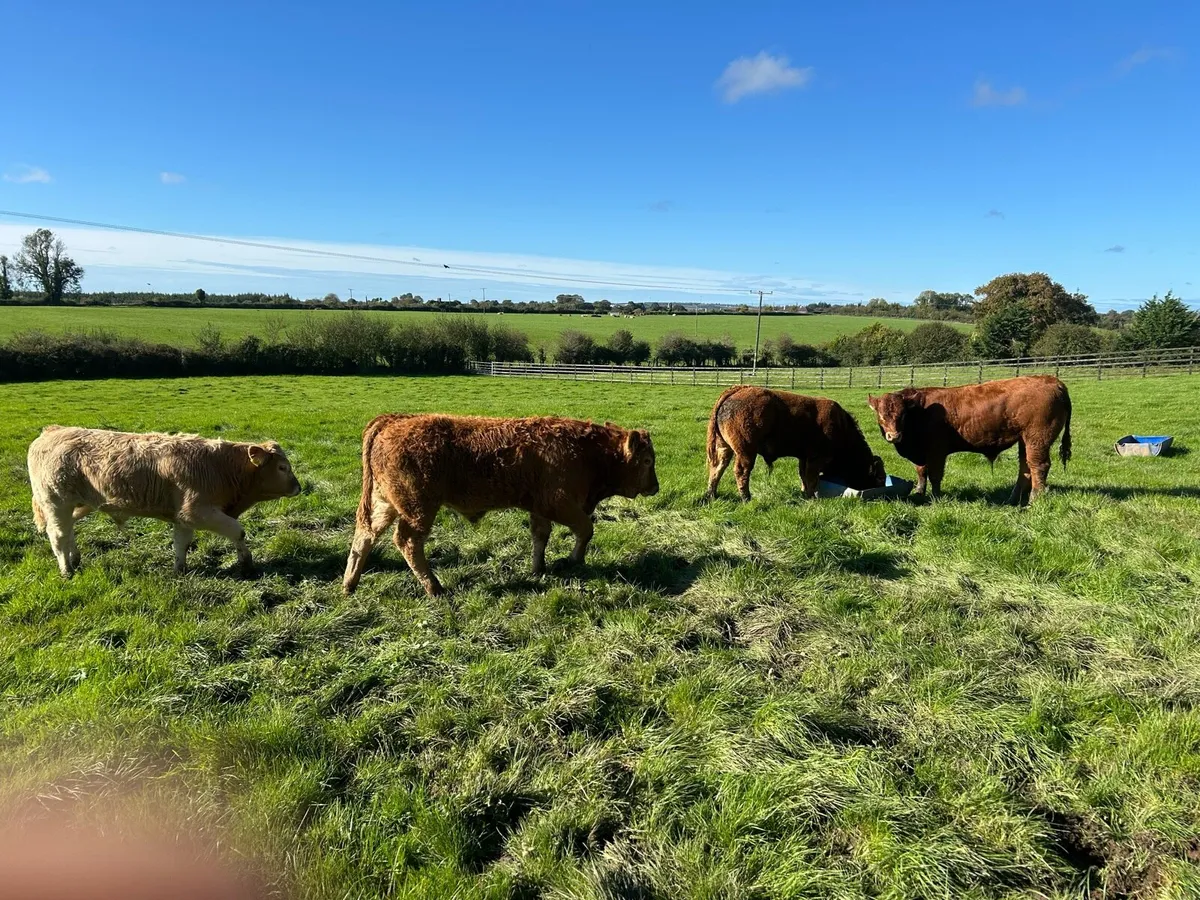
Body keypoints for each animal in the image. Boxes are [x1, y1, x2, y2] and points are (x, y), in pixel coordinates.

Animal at [27, 426, 302, 576]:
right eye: (282, 467)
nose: (299, 488)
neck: (220, 467)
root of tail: (53, 431)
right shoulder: (198, 511)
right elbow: (238, 531)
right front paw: (245, 561)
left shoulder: (184, 516)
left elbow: (181, 543)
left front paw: (179, 570)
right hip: (55, 502)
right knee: (58, 535)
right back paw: (67, 570)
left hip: (77, 504)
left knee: (69, 531)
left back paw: (75, 559)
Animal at [342, 414, 660, 597]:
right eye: (647, 460)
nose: (655, 487)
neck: (587, 450)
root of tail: (392, 420)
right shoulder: (561, 504)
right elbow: (585, 528)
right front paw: (573, 560)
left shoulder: (539, 508)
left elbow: (540, 537)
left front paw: (538, 569)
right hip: (418, 510)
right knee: (407, 541)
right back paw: (435, 588)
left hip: (385, 504)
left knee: (365, 536)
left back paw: (349, 584)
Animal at [705, 385, 886, 501]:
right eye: (879, 477)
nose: (879, 490)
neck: (842, 427)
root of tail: (736, 390)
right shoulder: (816, 458)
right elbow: (811, 478)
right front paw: (812, 497)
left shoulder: (804, 458)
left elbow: (804, 476)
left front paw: (805, 494)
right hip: (746, 451)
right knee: (741, 471)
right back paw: (746, 498)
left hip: (724, 447)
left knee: (718, 468)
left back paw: (711, 495)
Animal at [867, 375, 1072, 504]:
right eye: (881, 415)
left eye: (902, 415)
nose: (894, 435)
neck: (921, 410)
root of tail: (1054, 381)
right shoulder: (921, 453)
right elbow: (921, 472)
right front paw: (919, 492)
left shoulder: (937, 451)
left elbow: (935, 475)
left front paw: (935, 497)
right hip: (1024, 440)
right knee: (1025, 468)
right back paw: (1013, 500)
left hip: (1037, 439)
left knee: (1039, 467)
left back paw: (1034, 500)